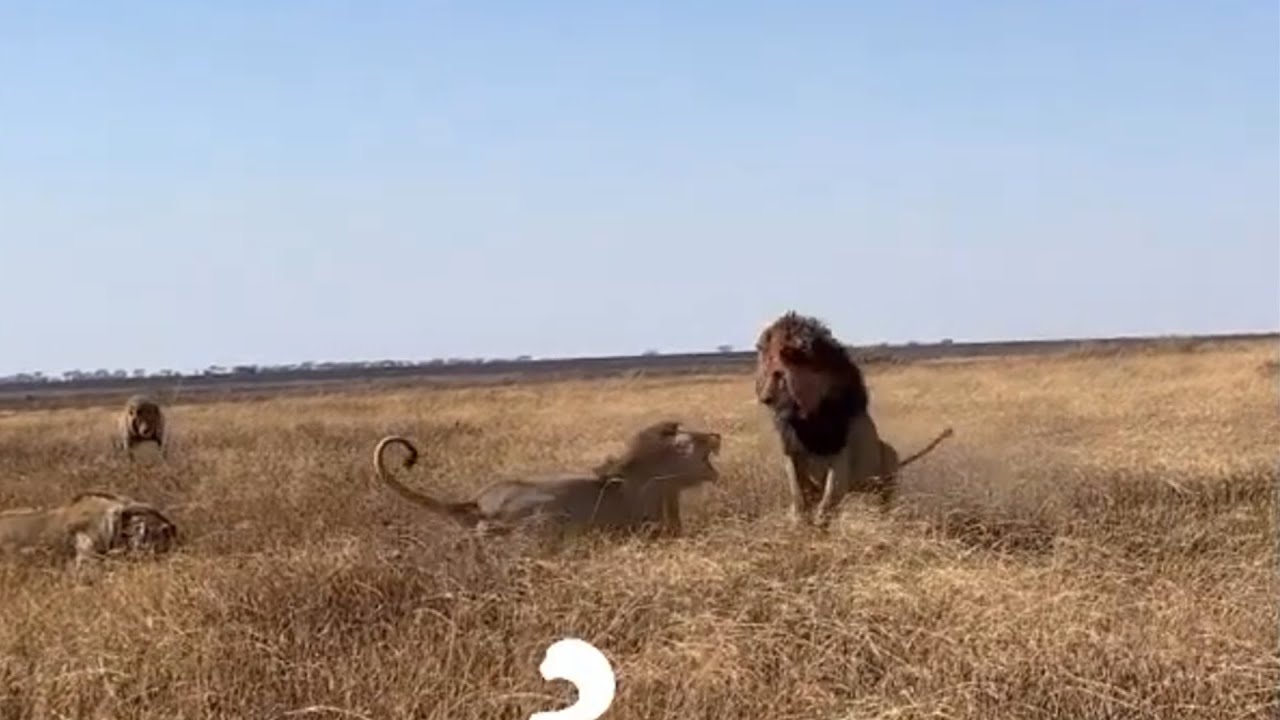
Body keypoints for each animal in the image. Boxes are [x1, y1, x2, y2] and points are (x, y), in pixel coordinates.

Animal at [752, 310, 957, 527]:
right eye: (764, 372)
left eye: (779, 374)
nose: (764, 398)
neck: (806, 412)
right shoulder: (791, 450)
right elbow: (798, 496)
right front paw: (800, 522)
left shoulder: (842, 452)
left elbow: (829, 498)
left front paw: (820, 524)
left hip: (888, 459)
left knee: (883, 501)